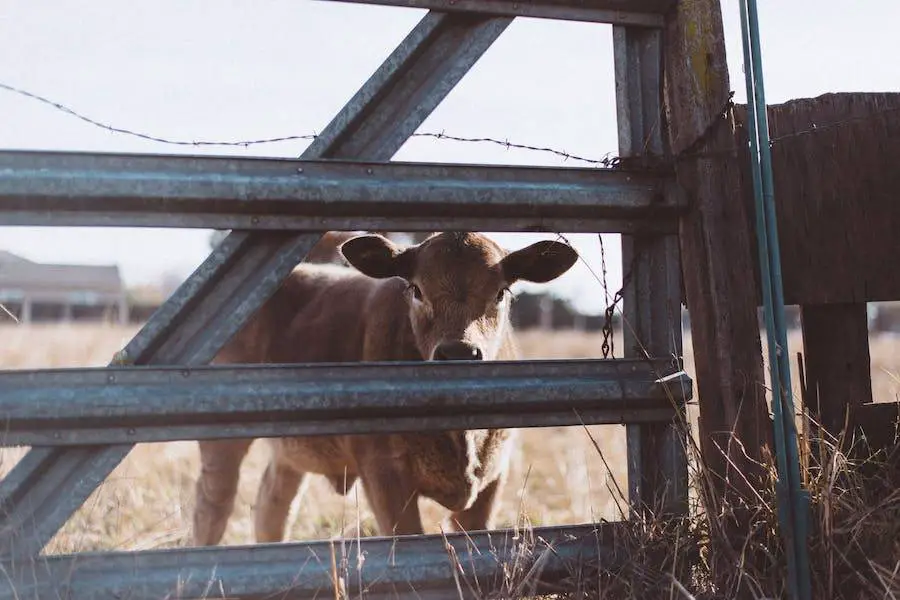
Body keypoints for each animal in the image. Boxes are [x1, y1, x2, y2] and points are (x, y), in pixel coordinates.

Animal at [191, 232, 578, 545]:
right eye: (417, 289)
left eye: (500, 292)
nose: (458, 353)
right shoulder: (383, 474)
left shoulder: (492, 478)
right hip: (221, 445)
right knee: (213, 507)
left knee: (272, 506)